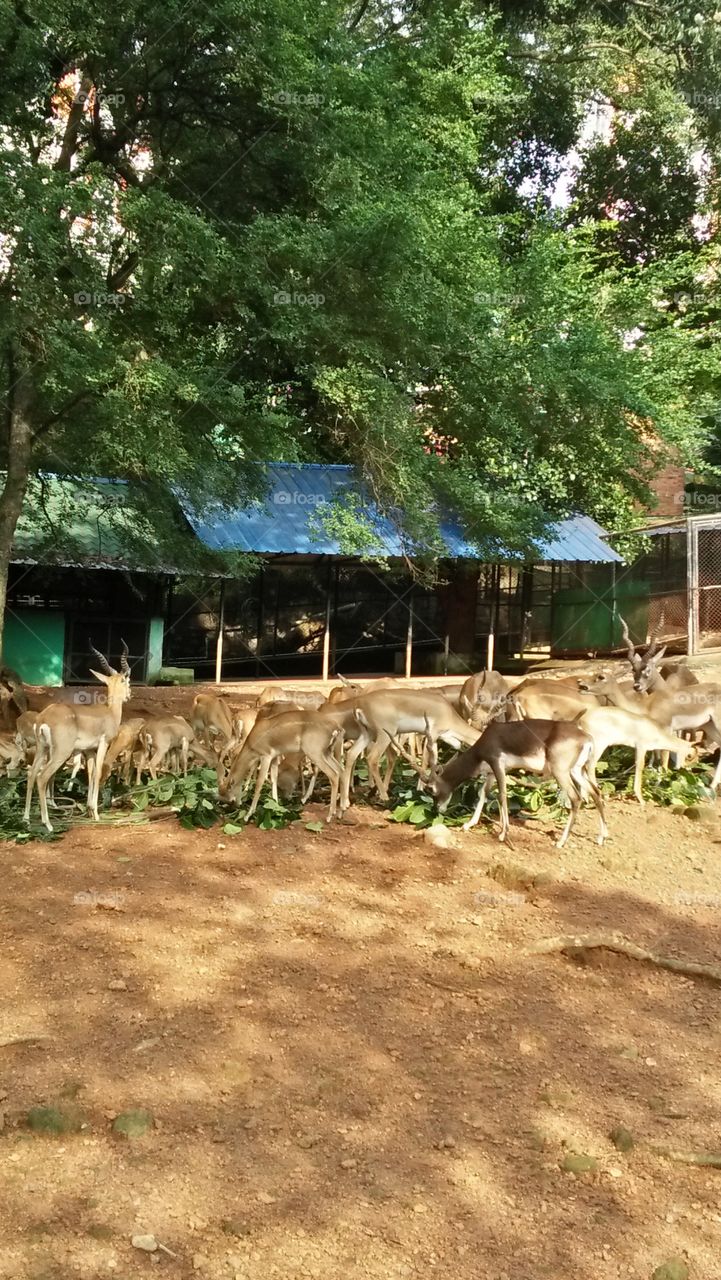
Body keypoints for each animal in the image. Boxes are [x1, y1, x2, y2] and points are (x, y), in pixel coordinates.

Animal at [24, 642, 132, 831]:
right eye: (126, 679)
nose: (129, 694)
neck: (109, 712)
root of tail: (44, 717)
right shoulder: (103, 744)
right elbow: (98, 773)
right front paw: (95, 813)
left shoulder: (88, 751)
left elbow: (90, 773)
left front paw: (88, 810)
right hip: (60, 753)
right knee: (42, 777)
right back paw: (47, 823)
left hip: (42, 749)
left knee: (31, 774)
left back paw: (26, 819)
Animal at [390, 717, 607, 848]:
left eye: (431, 789)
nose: (438, 810)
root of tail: (587, 738)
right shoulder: (491, 773)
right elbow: (483, 794)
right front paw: (469, 824)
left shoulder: (497, 764)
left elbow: (502, 795)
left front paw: (503, 834)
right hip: (577, 770)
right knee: (596, 793)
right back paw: (601, 837)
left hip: (561, 772)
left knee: (576, 798)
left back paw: (561, 842)